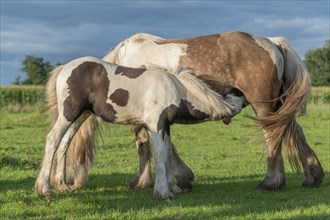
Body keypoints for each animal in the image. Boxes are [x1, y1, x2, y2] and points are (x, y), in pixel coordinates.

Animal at [35, 56, 242, 199]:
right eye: (234, 93)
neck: (175, 89)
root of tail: (64, 68)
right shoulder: (156, 125)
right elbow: (160, 154)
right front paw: (163, 193)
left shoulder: (165, 126)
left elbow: (167, 153)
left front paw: (172, 187)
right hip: (69, 114)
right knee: (53, 140)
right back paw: (44, 189)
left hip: (81, 115)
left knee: (64, 143)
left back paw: (62, 184)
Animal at [50, 31, 324, 192]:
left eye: (72, 155)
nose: (65, 182)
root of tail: (273, 43)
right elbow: (157, 144)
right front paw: (177, 178)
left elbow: (146, 145)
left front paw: (148, 180)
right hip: (277, 105)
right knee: (293, 131)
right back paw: (313, 176)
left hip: (264, 105)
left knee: (273, 136)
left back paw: (271, 182)